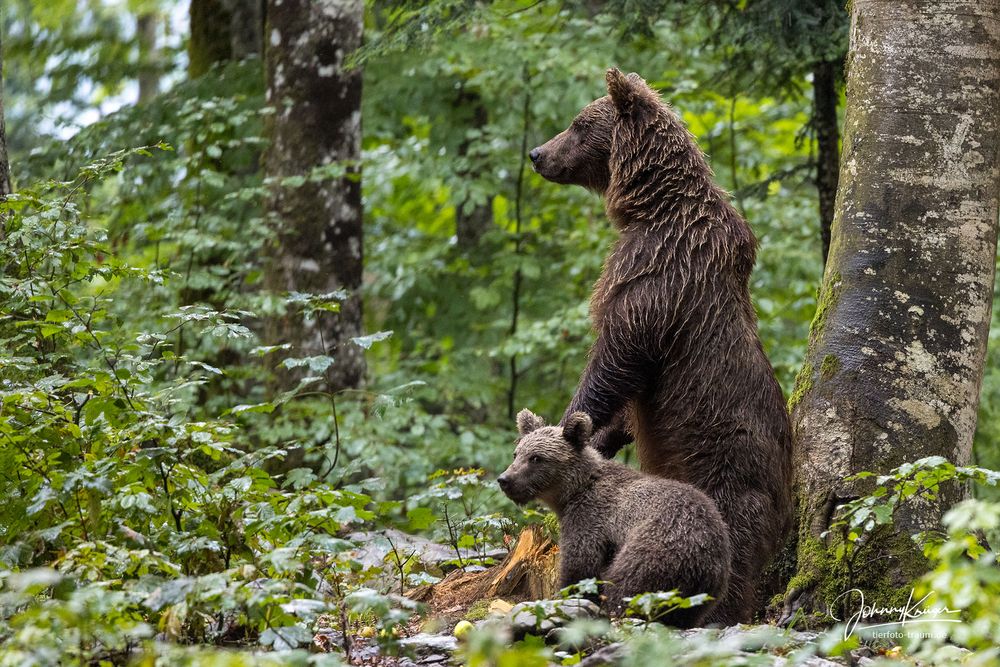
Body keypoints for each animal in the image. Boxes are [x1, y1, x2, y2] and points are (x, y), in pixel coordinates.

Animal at [498, 408, 728, 632]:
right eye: (517, 454)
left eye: (536, 458)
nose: (505, 480)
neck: (573, 491)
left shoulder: (589, 520)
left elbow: (580, 568)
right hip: (702, 591)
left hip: (653, 552)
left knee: (625, 591)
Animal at [528, 69, 792, 628]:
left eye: (578, 123)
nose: (538, 154)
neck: (652, 208)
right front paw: (603, 438)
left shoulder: (654, 278)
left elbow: (617, 356)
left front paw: (570, 425)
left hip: (724, 468)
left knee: (730, 547)